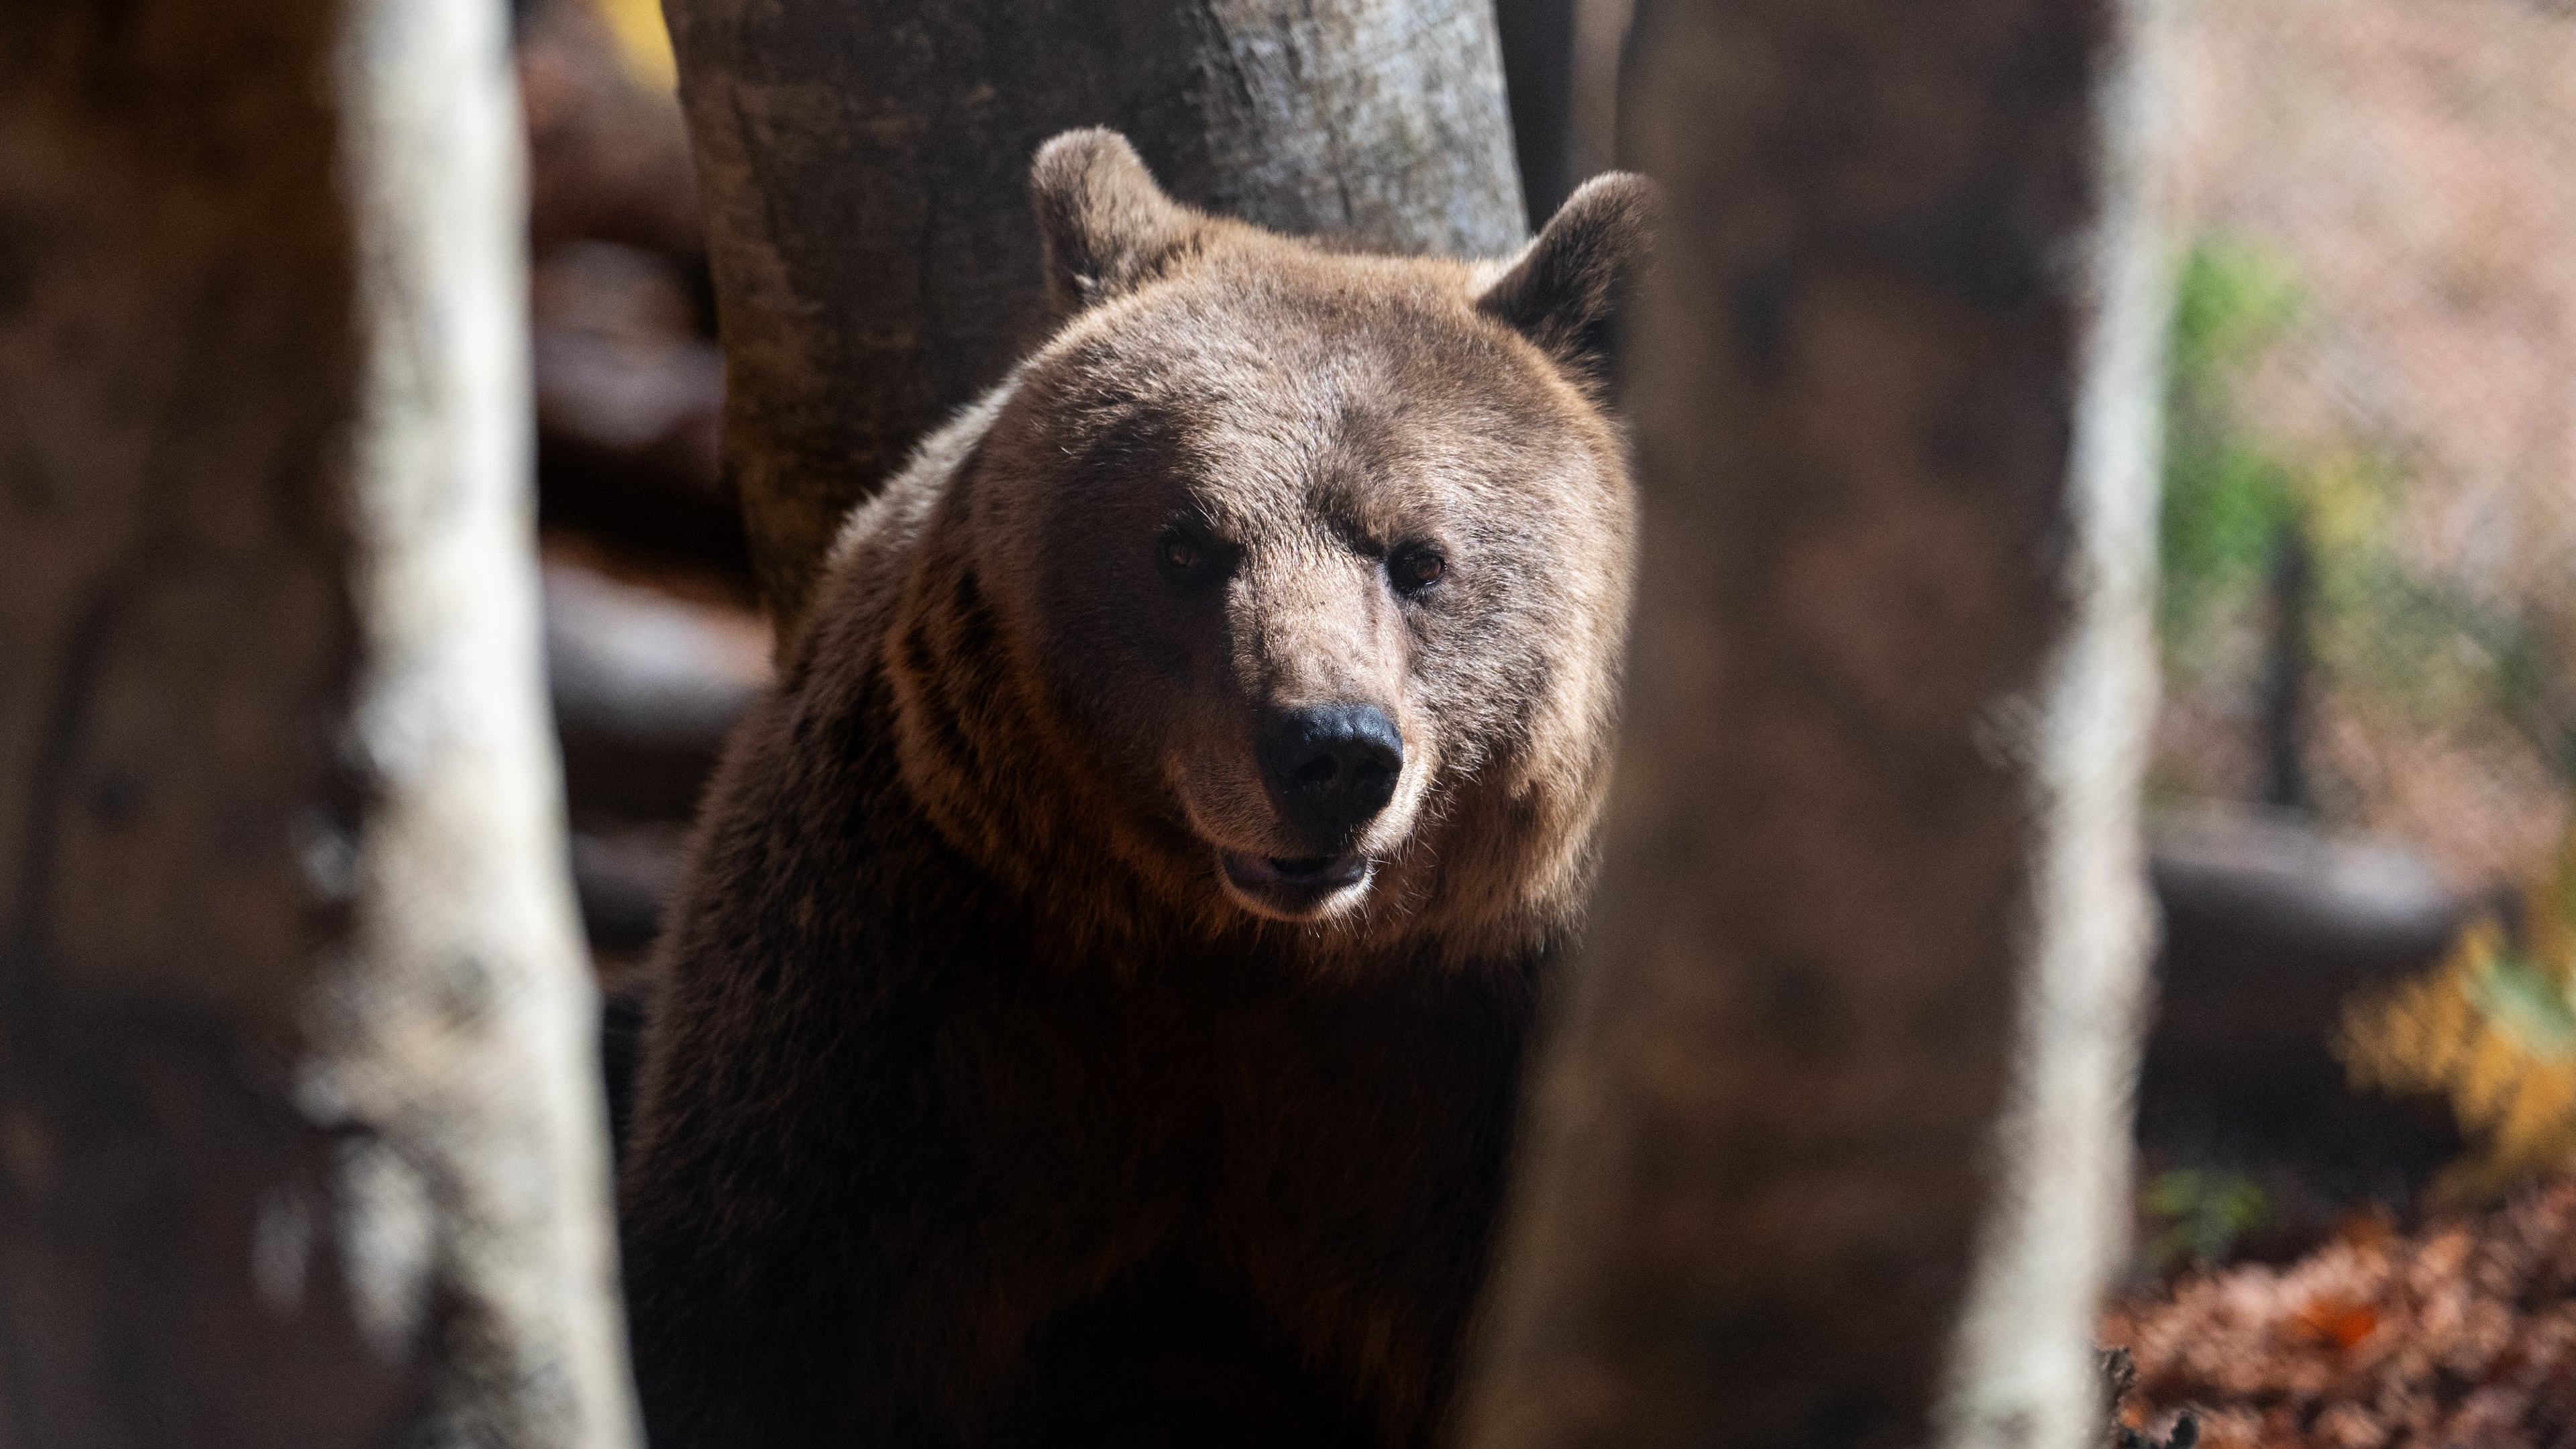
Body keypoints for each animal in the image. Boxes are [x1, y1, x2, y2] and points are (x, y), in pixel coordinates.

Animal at [617, 128, 1654, 1448]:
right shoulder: (912, 994)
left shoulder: (1493, 1052)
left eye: (1418, 558)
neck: (1245, 951)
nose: (1330, 752)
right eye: (1185, 544)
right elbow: (766, 1305)